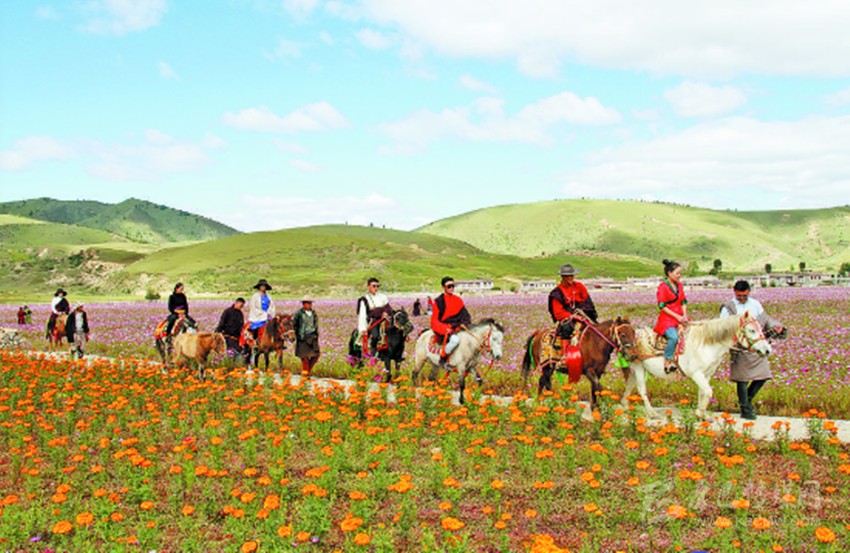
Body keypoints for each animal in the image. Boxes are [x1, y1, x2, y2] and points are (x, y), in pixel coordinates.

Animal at [620, 311, 771, 420]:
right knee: (641, 389)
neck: (706, 344)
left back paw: (625, 405)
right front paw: (699, 413)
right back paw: (651, 413)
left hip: (640, 368)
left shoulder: (706, 374)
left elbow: (702, 392)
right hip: (638, 366)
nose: (767, 350)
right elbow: (708, 391)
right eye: (752, 330)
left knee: (630, 383)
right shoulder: (696, 374)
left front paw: (701, 414)